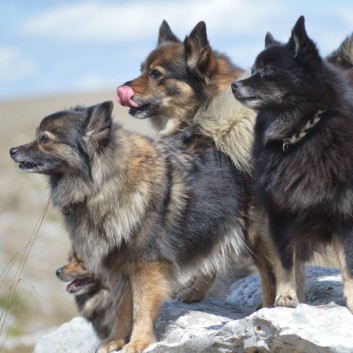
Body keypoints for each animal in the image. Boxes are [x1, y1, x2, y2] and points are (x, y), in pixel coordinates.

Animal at [231, 15, 352, 312]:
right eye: (253, 69)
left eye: (266, 70)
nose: (234, 86)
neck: (301, 134)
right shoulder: (281, 214)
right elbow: (286, 261)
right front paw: (286, 296)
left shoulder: (345, 214)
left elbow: (348, 265)